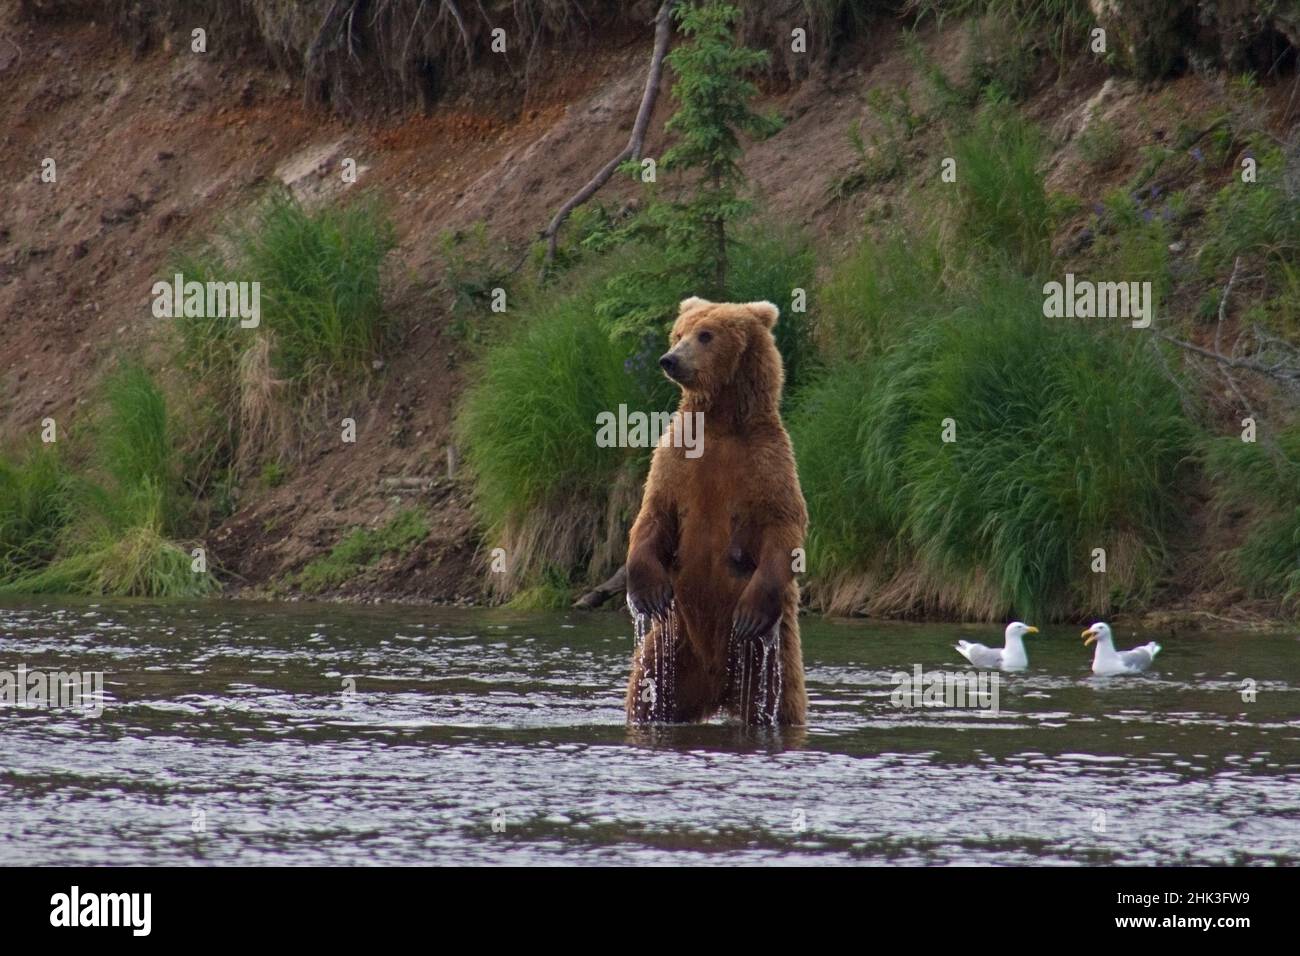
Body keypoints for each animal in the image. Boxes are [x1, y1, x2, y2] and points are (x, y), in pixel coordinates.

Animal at [624, 299, 806, 723]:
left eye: (706, 335)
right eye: (678, 332)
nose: (670, 360)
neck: (719, 423)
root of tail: (716, 690)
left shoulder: (767, 463)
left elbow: (783, 527)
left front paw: (751, 613)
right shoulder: (675, 458)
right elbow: (653, 514)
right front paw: (648, 591)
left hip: (769, 661)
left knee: (784, 703)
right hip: (671, 648)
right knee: (644, 691)